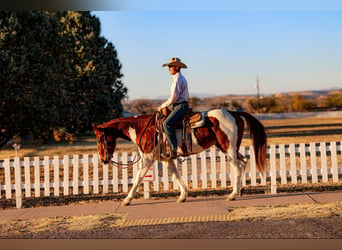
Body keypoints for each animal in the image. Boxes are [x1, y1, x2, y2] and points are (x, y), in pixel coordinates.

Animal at [93, 108, 268, 206]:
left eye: (100, 139)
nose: (103, 159)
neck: (144, 128)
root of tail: (235, 113)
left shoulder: (147, 159)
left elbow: (137, 179)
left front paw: (127, 200)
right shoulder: (167, 159)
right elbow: (176, 175)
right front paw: (183, 196)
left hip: (229, 148)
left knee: (237, 166)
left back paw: (232, 194)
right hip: (228, 148)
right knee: (244, 162)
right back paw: (239, 191)